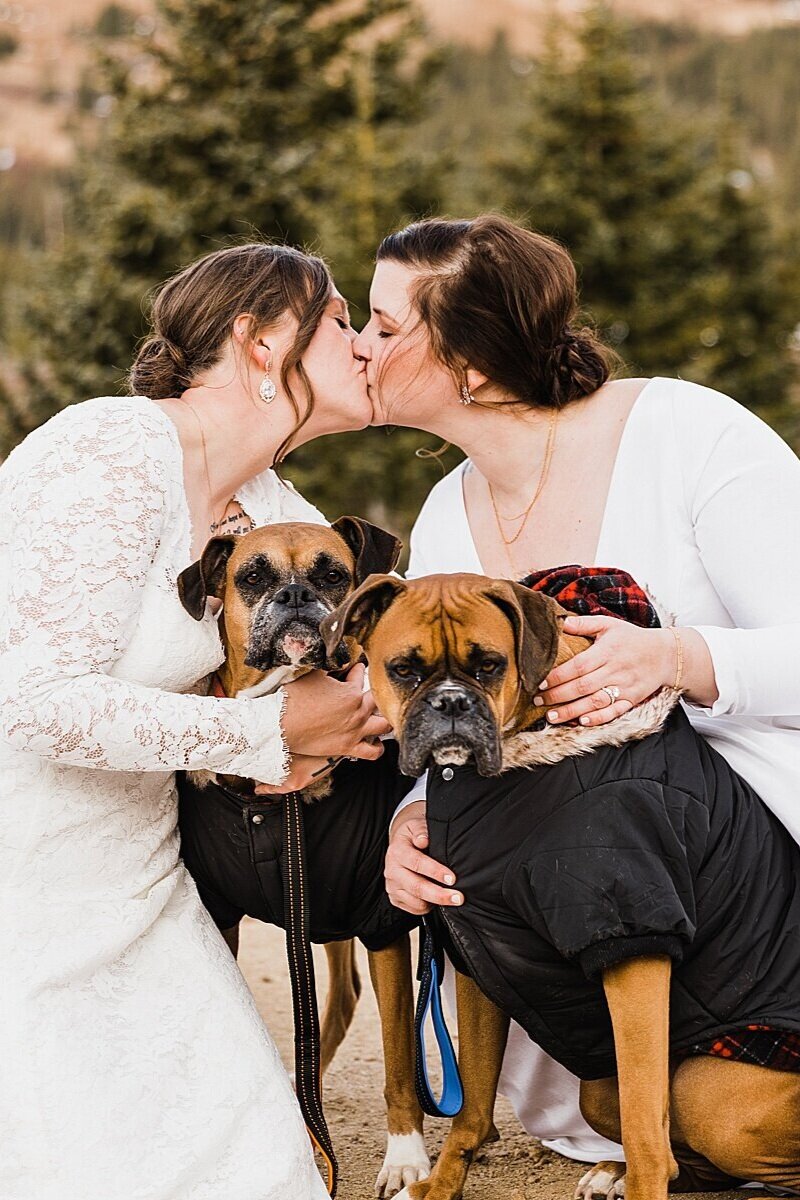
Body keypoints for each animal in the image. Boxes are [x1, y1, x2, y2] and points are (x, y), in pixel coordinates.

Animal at [176, 520, 431, 1195]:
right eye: (253, 576)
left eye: (332, 575)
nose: (294, 596)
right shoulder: (224, 918)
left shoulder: (382, 925)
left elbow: (398, 1059)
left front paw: (406, 1158)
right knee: (333, 1008)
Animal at [321, 568, 800, 1200]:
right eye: (403, 669)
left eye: (489, 665)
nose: (451, 703)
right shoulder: (479, 952)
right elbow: (473, 1100)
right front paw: (442, 1184)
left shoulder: (632, 947)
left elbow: (646, 1131)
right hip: (599, 1088)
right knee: (680, 1156)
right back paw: (612, 1172)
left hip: (709, 1092)